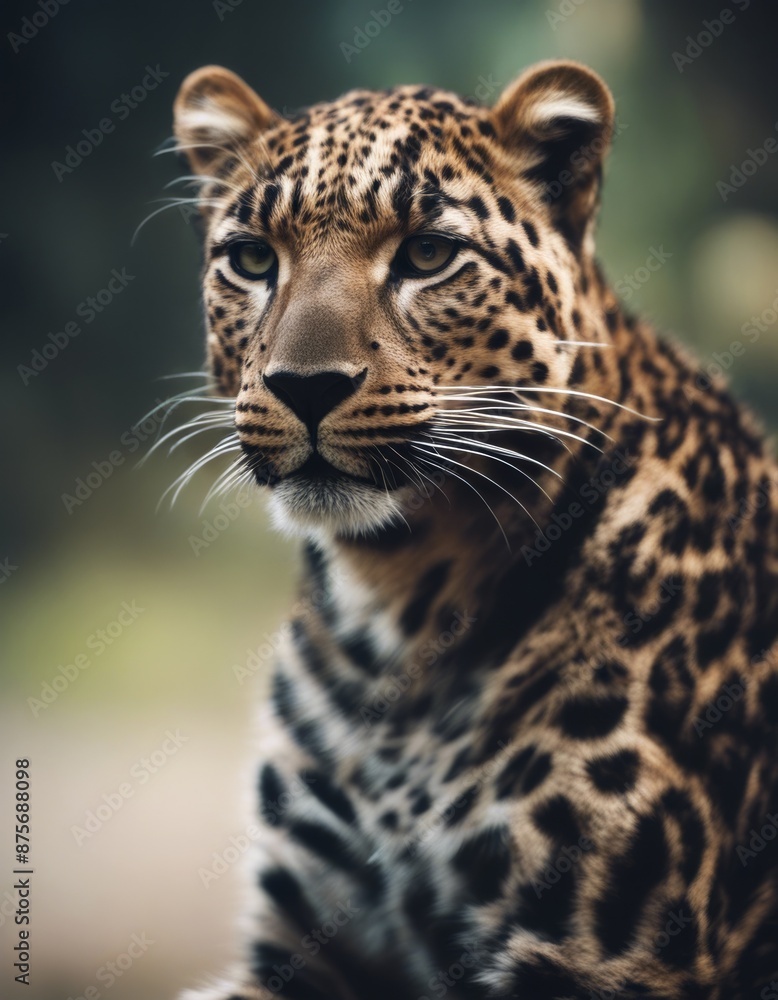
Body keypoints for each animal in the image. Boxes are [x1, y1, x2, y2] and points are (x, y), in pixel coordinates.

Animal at [166, 59, 778, 999]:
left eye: (427, 254)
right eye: (253, 259)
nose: (305, 385)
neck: (395, 614)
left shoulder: (600, 957)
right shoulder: (304, 947)